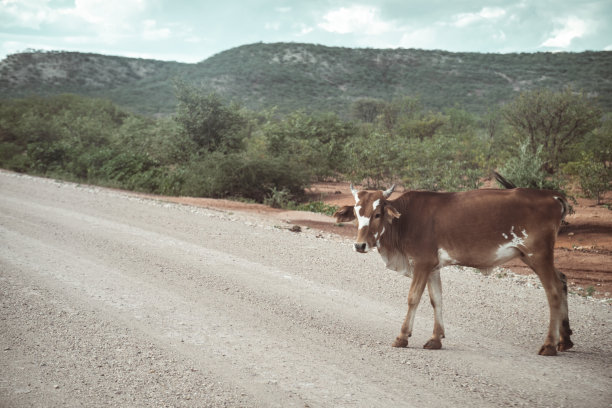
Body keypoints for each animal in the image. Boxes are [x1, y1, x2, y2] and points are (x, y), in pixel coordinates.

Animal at [332, 183, 572, 356]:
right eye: (356, 214)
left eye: (377, 214)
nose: (360, 245)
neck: (405, 219)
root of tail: (552, 195)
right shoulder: (432, 267)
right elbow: (436, 299)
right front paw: (435, 339)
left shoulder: (421, 263)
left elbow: (413, 298)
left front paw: (402, 337)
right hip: (535, 257)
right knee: (561, 280)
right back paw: (566, 339)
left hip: (537, 255)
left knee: (553, 290)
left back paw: (549, 345)